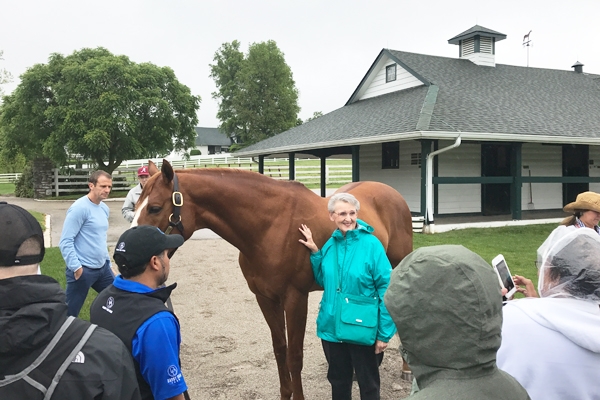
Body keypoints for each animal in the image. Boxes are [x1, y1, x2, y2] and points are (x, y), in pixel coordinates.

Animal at [132, 160, 412, 400]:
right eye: (134, 207)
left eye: (155, 208)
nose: (128, 253)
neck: (268, 226)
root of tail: (392, 193)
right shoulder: (266, 298)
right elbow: (280, 350)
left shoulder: (295, 298)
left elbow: (294, 356)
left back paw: (407, 368)